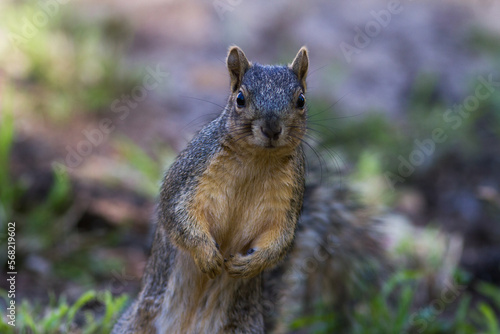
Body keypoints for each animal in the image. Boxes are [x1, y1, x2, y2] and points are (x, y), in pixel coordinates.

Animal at [114, 45, 386, 332]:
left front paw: (248, 265)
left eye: (301, 100)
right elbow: (177, 215)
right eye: (240, 98)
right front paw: (207, 254)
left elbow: (281, 240)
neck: (257, 160)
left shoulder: (286, 203)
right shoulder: (188, 177)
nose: (272, 128)